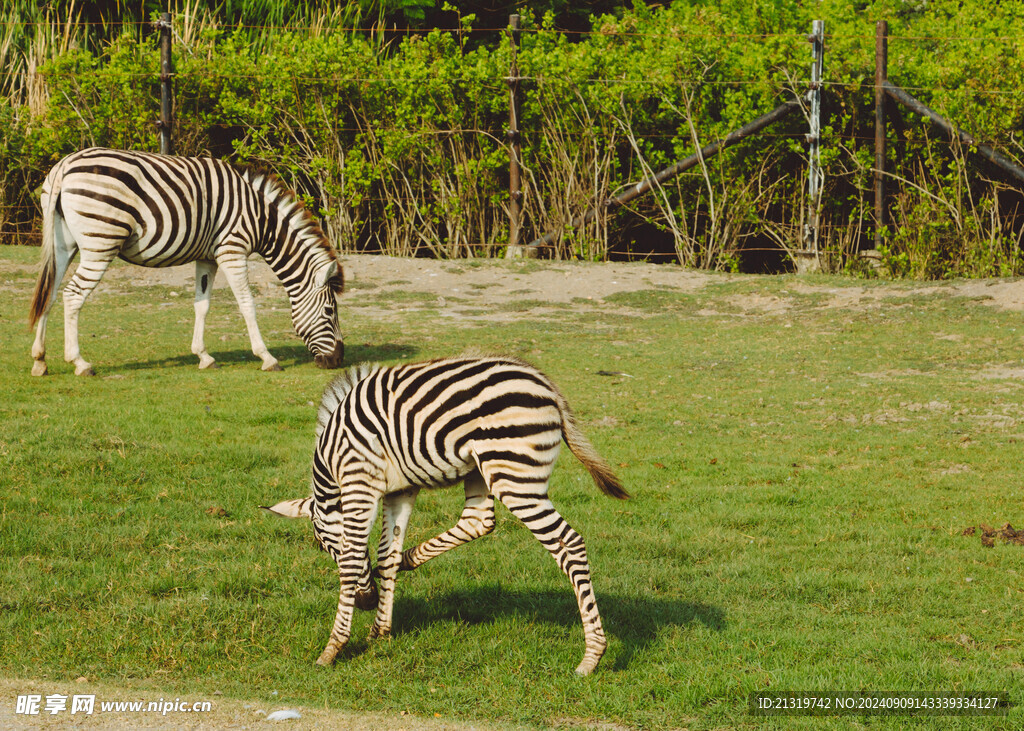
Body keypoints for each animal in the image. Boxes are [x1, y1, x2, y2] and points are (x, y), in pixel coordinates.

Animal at [28, 148, 346, 376]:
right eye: (330, 311)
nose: (338, 360)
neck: (261, 219)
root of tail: (65, 165)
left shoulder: (207, 258)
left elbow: (201, 305)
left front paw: (204, 356)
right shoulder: (232, 250)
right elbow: (247, 304)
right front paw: (267, 357)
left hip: (64, 243)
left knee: (49, 294)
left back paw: (40, 360)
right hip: (100, 242)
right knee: (72, 296)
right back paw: (79, 362)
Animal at [264, 352, 626, 671]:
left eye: (325, 546)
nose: (366, 602)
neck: (331, 458)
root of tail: (546, 385)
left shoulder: (359, 482)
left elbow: (354, 560)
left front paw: (332, 648)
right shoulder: (400, 490)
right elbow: (386, 554)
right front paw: (380, 630)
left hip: (514, 476)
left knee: (570, 543)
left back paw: (592, 655)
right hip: (482, 468)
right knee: (479, 520)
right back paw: (410, 559)